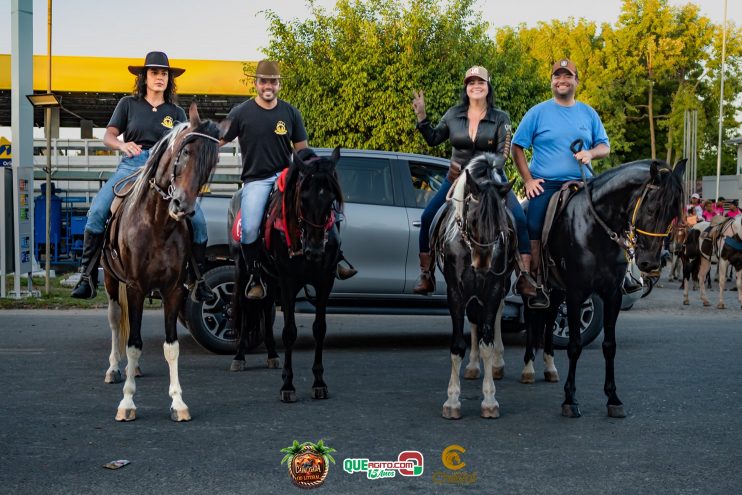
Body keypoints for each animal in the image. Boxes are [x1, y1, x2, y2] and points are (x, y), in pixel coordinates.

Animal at [101, 103, 228, 422]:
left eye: (213, 162)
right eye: (185, 151)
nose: (183, 207)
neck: (156, 223)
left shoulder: (173, 290)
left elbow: (171, 348)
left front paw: (178, 403)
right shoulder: (134, 286)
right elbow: (133, 344)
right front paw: (127, 402)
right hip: (111, 280)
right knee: (115, 319)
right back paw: (114, 368)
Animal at [231, 147, 344, 404]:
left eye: (331, 199)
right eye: (303, 198)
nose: (315, 250)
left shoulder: (325, 281)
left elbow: (319, 329)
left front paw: (319, 382)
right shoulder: (289, 281)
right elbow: (290, 331)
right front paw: (288, 385)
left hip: (271, 279)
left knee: (264, 307)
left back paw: (272, 354)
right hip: (244, 271)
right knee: (246, 309)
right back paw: (239, 357)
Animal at [430, 157, 516, 420]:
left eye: (500, 223)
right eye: (474, 218)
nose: (483, 264)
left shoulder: (493, 289)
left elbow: (488, 342)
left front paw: (489, 399)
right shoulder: (456, 293)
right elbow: (458, 345)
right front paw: (452, 401)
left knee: (494, 317)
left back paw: (496, 363)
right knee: (475, 319)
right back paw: (472, 366)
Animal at [528, 159, 688, 418]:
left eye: (673, 215)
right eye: (652, 209)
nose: (650, 263)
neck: (595, 228)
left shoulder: (612, 295)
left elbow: (609, 346)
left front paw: (613, 398)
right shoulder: (576, 294)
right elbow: (574, 345)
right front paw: (570, 399)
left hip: (557, 289)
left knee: (549, 315)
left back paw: (550, 368)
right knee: (531, 316)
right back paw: (525, 368)